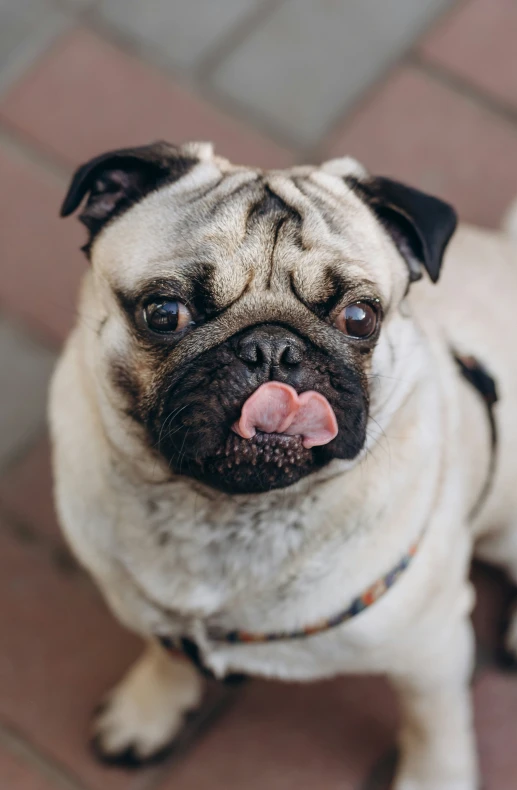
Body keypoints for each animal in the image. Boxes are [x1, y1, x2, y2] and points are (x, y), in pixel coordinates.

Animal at [49, 139, 517, 788]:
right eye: (164, 313)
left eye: (360, 318)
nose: (272, 348)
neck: (224, 516)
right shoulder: (155, 612)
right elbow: (169, 657)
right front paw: (149, 709)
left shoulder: (433, 646)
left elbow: (436, 724)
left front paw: (436, 778)